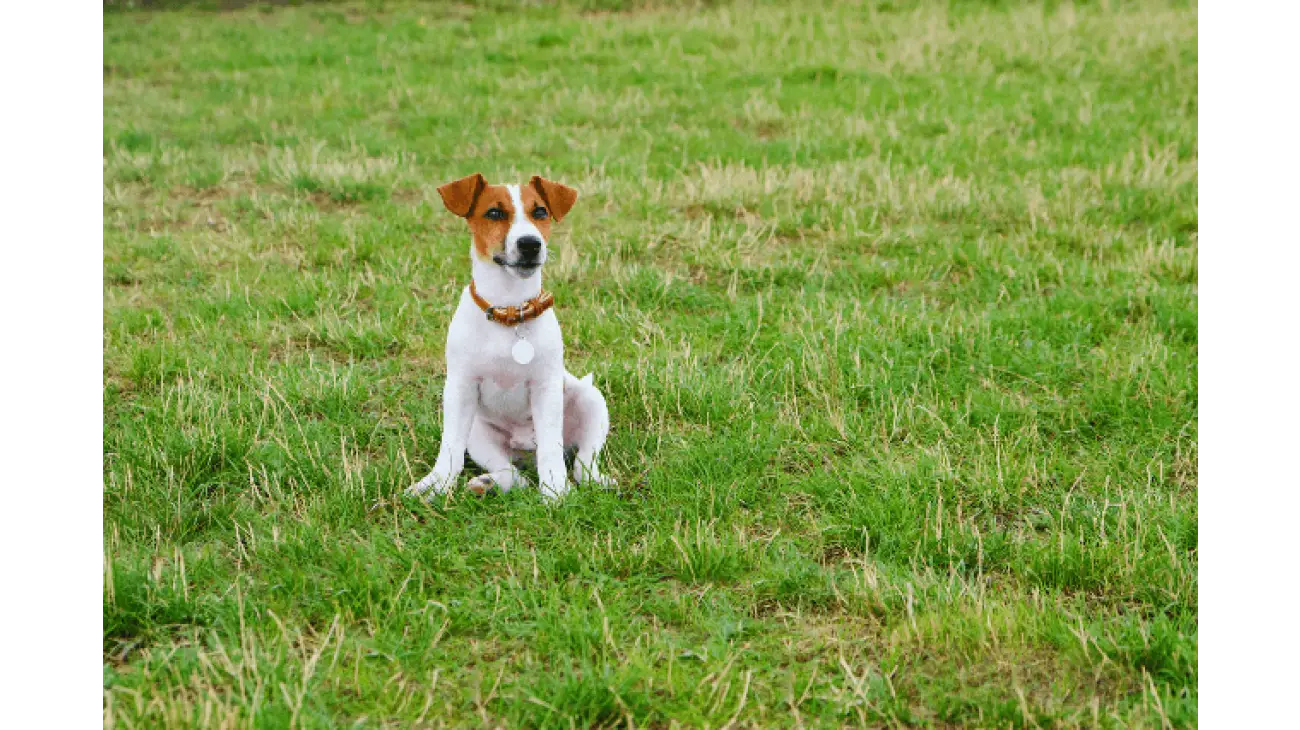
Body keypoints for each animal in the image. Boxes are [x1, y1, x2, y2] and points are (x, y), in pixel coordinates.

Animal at [405, 172, 613, 496]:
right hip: (478, 434)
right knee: (514, 475)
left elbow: (551, 453)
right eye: (494, 213)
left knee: (583, 464)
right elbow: (450, 450)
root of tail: (524, 451)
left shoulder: (546, 389)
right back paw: (487, 483)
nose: (530, 244)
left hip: (591, 402)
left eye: (540, 211)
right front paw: (434, 485)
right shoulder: (460, 389)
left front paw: (556, 495)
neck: (510, 311)